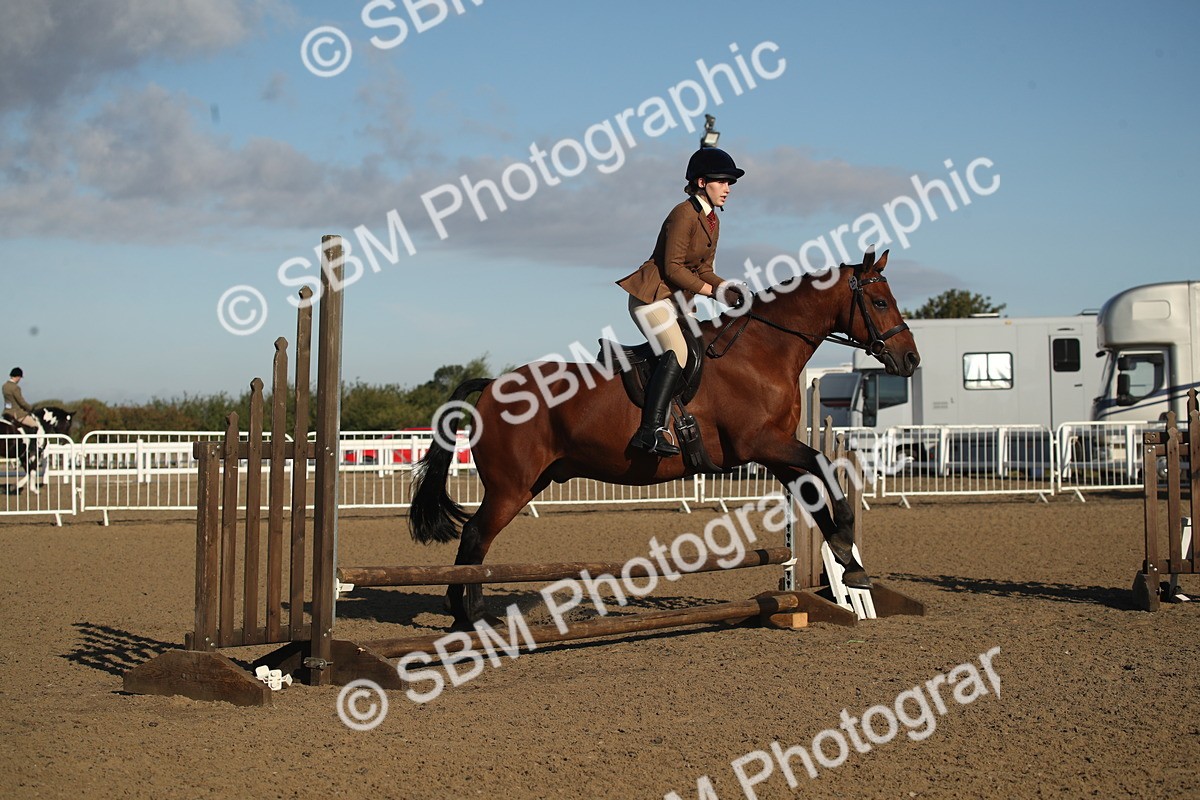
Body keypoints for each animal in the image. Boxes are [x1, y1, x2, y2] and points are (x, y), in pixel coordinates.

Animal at [410, 249, 919, 629]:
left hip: (529, 483)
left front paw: (848, 562)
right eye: (879, 303)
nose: (910, 359)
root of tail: (493, 386)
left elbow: (815, 487)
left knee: (477, 540)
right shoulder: (761, 443)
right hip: (511, 487)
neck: (760, 352)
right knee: (476, 537)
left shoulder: (775, 452)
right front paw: (847, 546)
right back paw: (471, 617)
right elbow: (824, 465)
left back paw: (464, 614)